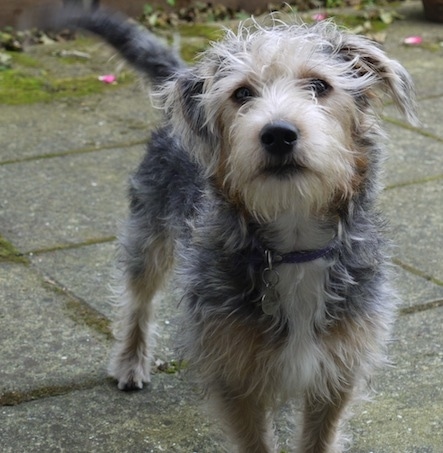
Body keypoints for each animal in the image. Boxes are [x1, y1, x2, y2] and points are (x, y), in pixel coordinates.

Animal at [43, 5, 418, 450]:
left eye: (319, 85)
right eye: (241, 94)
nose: (278, 133)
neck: (294, 243)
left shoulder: (337, 371)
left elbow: (318, 437)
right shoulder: (236, 376)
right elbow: (254, 438)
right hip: (148, 232)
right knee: (138, 298)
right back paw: (131, 361)